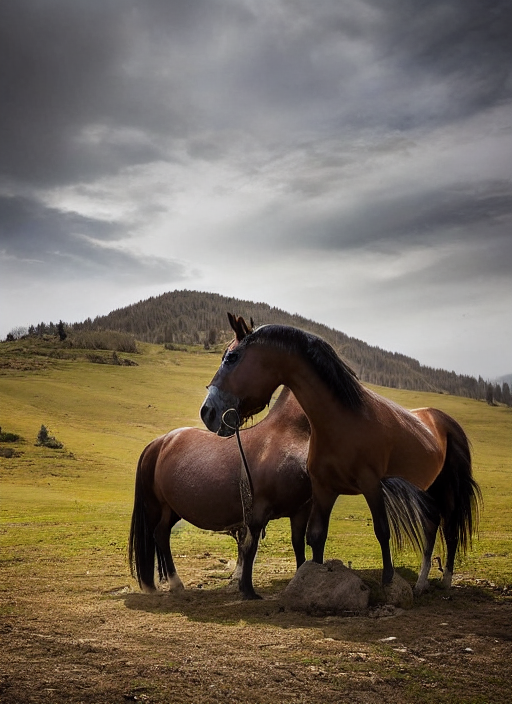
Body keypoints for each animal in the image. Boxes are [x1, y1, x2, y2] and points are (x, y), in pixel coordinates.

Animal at [129, 325, 312, 600]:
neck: (288, 434)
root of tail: (160, 442)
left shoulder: (302, 508)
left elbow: (297, 545)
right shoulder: (258, 510)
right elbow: (251, 547)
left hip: (172, 509)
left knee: (161, 534)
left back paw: (173, 583)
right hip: (154, 507)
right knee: (156, 535)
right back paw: (168, 584)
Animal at [200, 323, 482, 593]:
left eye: (232, 357)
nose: (208, 412)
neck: (343, 422)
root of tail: (442, 419)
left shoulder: (371, 484)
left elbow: (382, 530)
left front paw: (388, 580)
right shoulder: (324, 488)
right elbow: (316, 536)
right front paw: (314, 578)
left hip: (448, 490)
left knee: (450, 530)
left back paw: (445, 581)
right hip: (429, 489)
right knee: (431, 527)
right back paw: (422, 583)